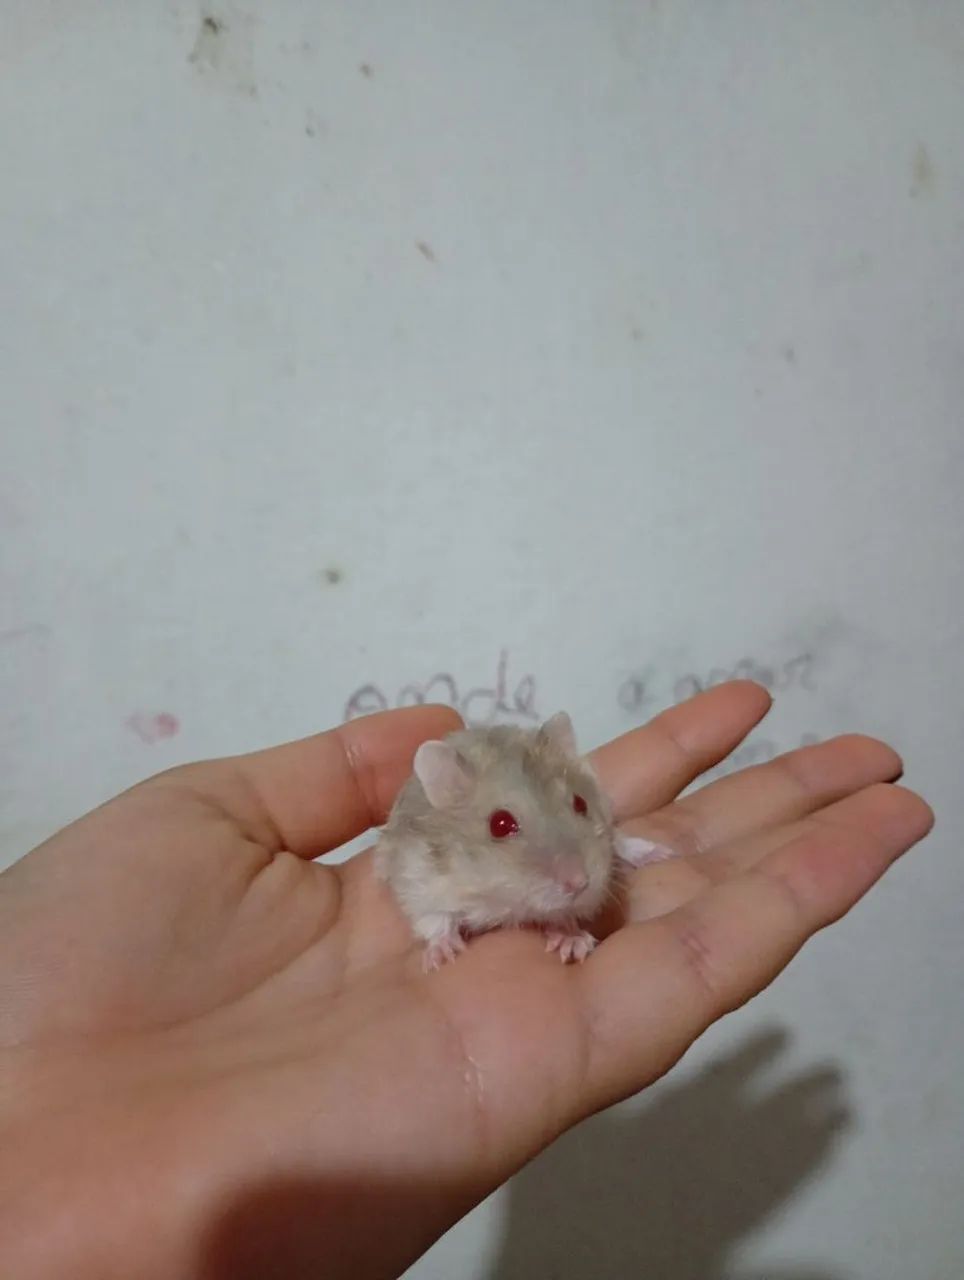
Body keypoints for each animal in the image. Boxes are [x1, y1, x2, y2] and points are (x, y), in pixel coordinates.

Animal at [374, 712, 673, 970]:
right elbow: (435, 920)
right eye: (500, 824)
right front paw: (442, 956)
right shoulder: (418, 877)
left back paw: (660, 854)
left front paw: (572, 943)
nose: (581, 883)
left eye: (581, 803)